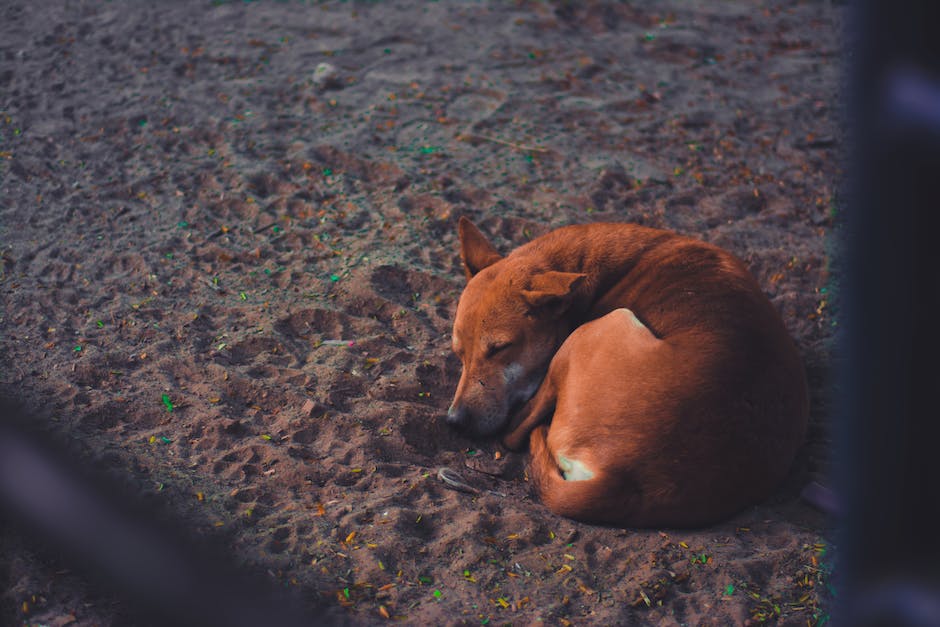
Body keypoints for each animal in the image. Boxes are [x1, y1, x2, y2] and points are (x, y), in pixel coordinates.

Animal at [448, 218, 808, 528]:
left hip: (597, 329)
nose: (455, 422)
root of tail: (625, 480)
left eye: (499, 348)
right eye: (458, 353)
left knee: (516, 431)